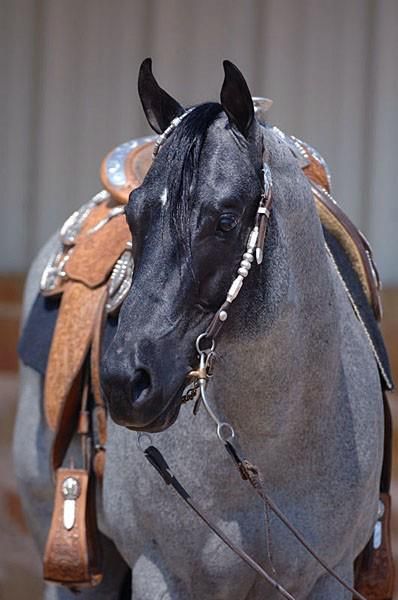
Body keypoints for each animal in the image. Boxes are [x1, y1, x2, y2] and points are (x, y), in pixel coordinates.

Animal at [13, 61, 392, 600]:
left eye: (226, 219)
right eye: (134, 215)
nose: (125, 382)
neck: (270, 444)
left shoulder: (329, 574)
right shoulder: (160, 572)